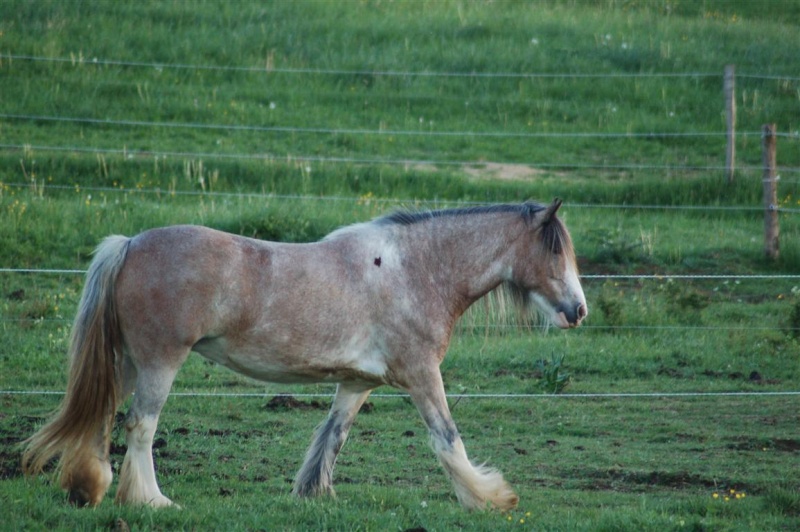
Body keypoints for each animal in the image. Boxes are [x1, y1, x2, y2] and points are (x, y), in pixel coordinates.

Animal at [23, 198, 588, 512]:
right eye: (554, 249)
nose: (578, 310)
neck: (416, 269)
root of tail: (131, 243)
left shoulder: (357, 383)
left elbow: (331, 437)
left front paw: (314, 495)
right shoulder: (422, 376)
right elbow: (448, 441)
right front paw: (491, 499)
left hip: (126, 362)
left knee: (102, 417)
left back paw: (88, 489)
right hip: (160, 361)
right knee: (140, 426)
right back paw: (151, 501)